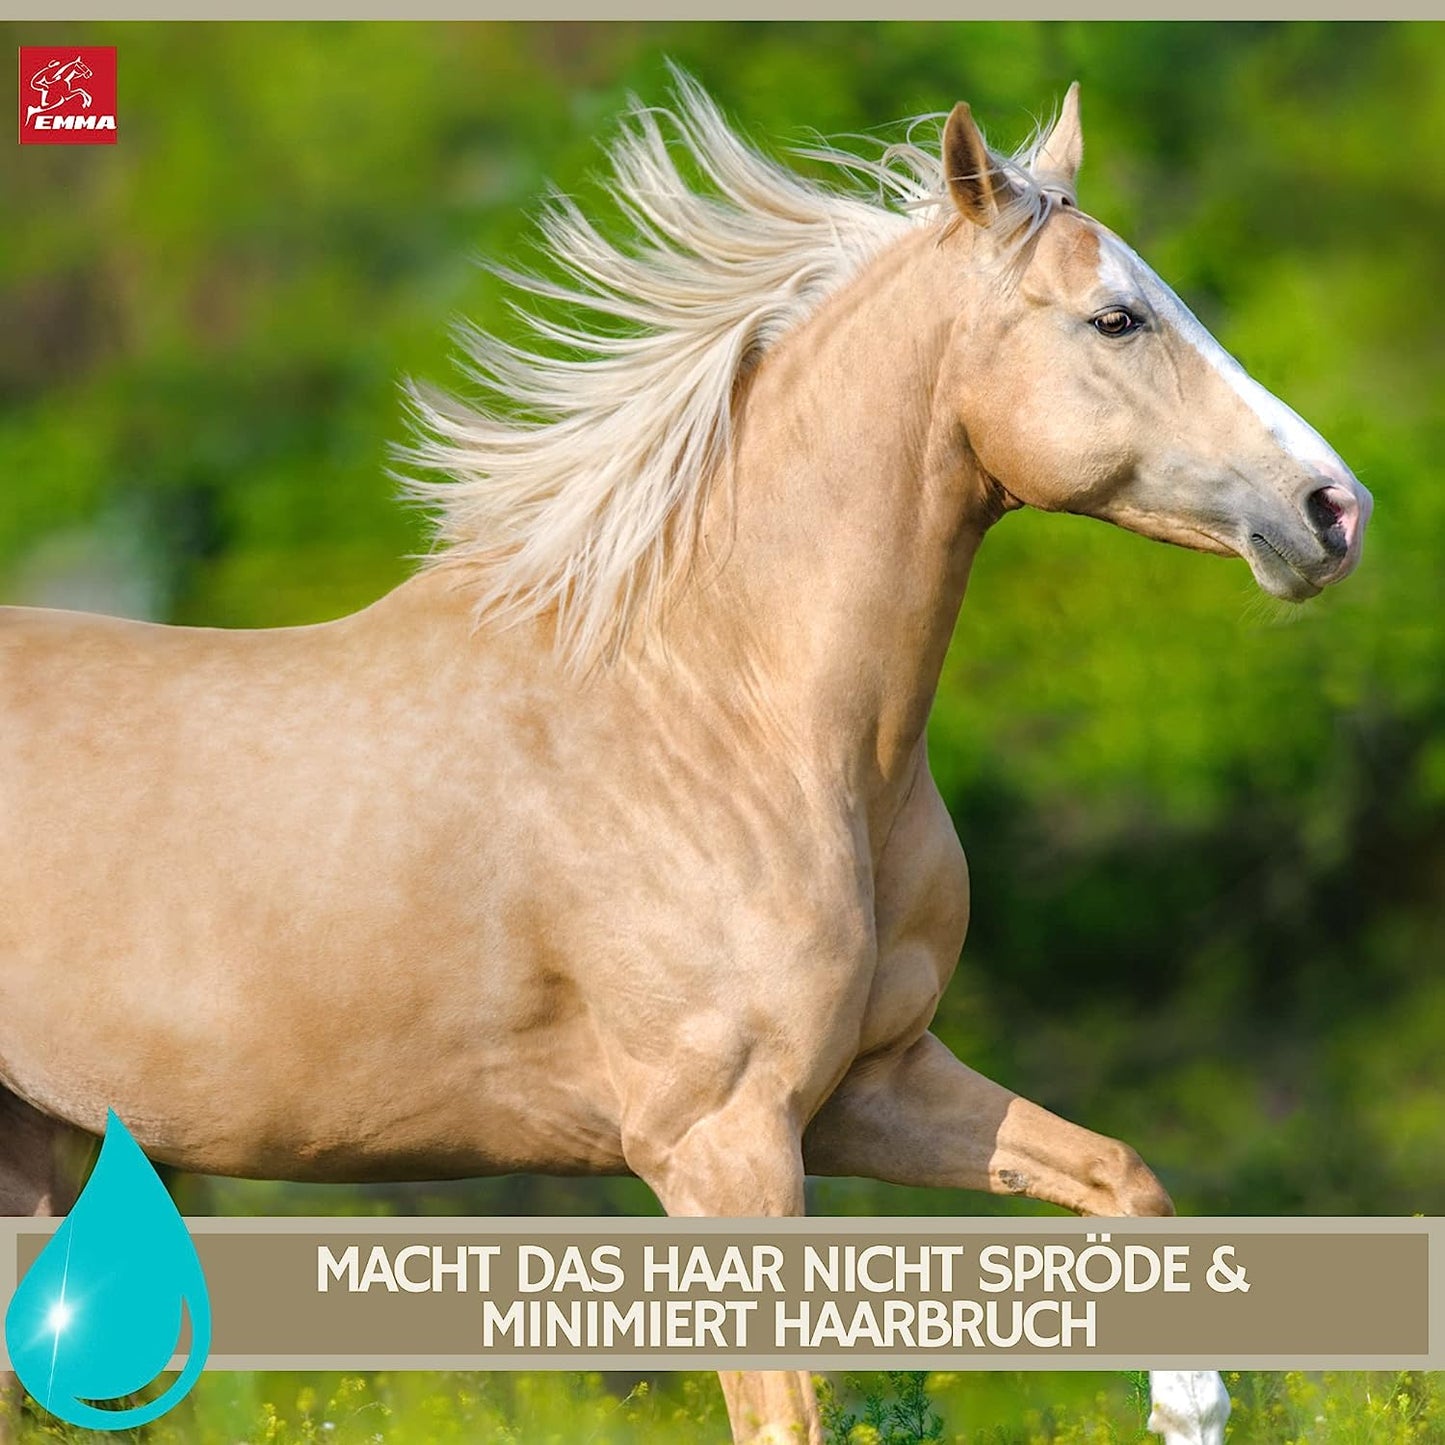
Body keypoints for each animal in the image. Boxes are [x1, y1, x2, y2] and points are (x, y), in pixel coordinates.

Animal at [0, 76, 1369, 1445]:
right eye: (1116, 316)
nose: (1331, 509)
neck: (729, 717)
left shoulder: (870, 1085)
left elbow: (1120, 1176)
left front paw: (1188, 1403)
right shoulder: (720, 1138)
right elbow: (784, 1416)